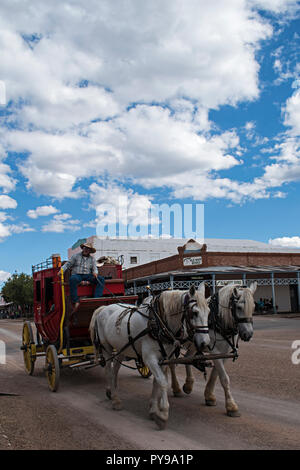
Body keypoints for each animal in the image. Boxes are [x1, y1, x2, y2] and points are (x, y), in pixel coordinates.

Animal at [90, 282, 210, 430]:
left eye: (209, 312)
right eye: (194, 313)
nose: (205, 343)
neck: (158, 322)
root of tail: (103, 308)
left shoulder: (164, 359)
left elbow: (156, 382)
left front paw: (153, 409)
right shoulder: (150, 358)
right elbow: (162, 382)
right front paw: (163, 414)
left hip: (121, 349)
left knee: (115, 371)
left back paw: (112, 392)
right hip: (106, 348)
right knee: (108, 372)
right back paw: (115, 400)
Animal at [170, 280, 256, 416]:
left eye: (253, 307)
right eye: (239, 307)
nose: (248, 334)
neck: (219, 321)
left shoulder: (225, 352)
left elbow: (216, 375)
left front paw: (209, 396)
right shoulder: (214, 350)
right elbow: (224, 378)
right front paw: (231, 406)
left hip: (194, 345)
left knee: (188, 357)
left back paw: (188, 384)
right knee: (171, 364)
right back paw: (176, 388)